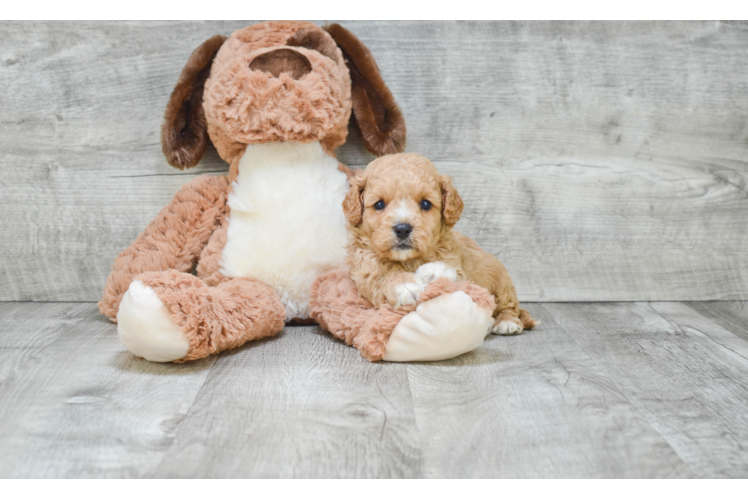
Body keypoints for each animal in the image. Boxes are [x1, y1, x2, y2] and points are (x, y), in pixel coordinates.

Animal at [344, 151, 536, 332]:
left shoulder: (458, 266)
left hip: (501, 281)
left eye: (426, 204)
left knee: (509, 305)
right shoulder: (363, 265)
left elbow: (454, 275)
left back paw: (507, 322)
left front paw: (435, 270)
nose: (402, 228)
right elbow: (379, 275)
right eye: (379, 205)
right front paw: (405, 285)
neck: (409, 259)